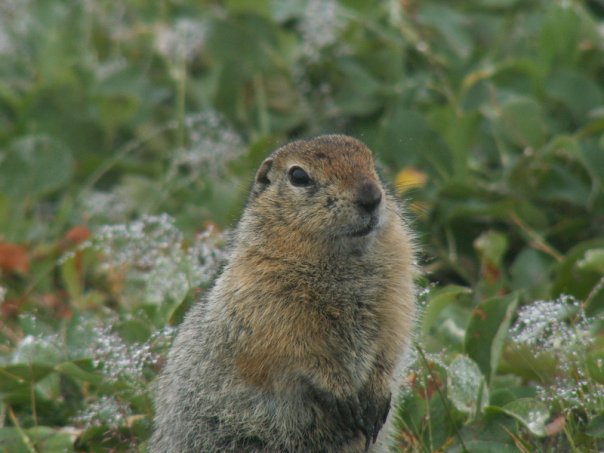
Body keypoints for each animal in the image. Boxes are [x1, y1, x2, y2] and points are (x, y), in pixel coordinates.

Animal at [151, 134, 416, 452]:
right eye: (298, 176)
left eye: (371, 162)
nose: (371, 196)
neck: (344, 261)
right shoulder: (266, 301)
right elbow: (295, 348)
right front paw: (341, 393)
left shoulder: (397, 291)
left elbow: (393, 340)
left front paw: (377, 395)